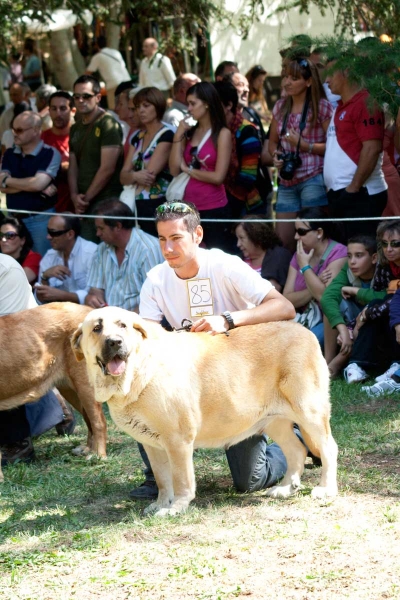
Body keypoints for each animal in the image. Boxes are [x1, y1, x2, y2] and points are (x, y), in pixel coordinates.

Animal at [0, 302, 108, 480]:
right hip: (71, 389)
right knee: (89, 420)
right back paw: (88, 450)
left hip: (85, 385)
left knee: (99, 422)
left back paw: (99, 455)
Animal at [71, 308, 338, 516]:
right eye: (97, 328)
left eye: (123, 325)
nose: (115, 342)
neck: (137, 372)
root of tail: (306, 332)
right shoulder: (152, 444)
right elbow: (162, 479)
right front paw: (160, 503)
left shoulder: (177, 440)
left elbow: (180, 479)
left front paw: (175, 508)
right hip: (275, 420)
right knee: (296, 449)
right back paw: (285, 488)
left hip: (309, 411)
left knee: (328, 448)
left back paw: (326, 488)